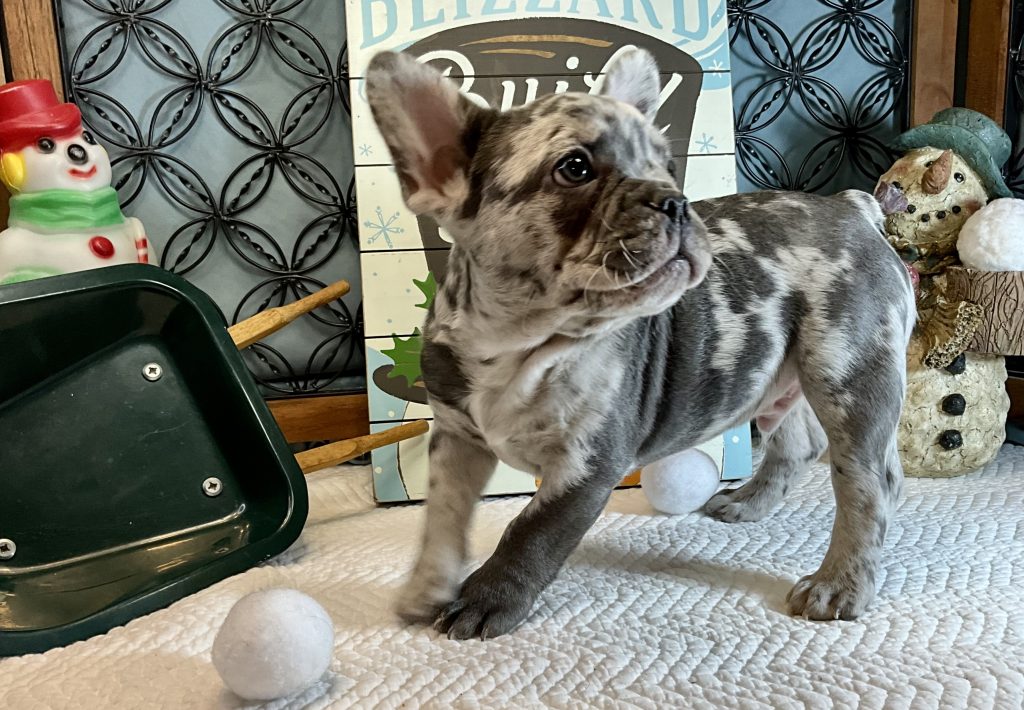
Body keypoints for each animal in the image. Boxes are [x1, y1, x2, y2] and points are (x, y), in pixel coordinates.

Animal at [365, 48, 915, 640]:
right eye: (575, 167)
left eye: (666, 168)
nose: (675, 200)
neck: (518, 342)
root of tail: (852, 208)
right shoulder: (456, 438)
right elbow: (441, 518)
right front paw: (426, 588)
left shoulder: (587, 463)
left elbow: (530, 531)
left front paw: (487, 600)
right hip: (780, 372)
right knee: (801, 443)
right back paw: (750, 504)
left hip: (847, 374)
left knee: (867, 483)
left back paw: (839, 584)